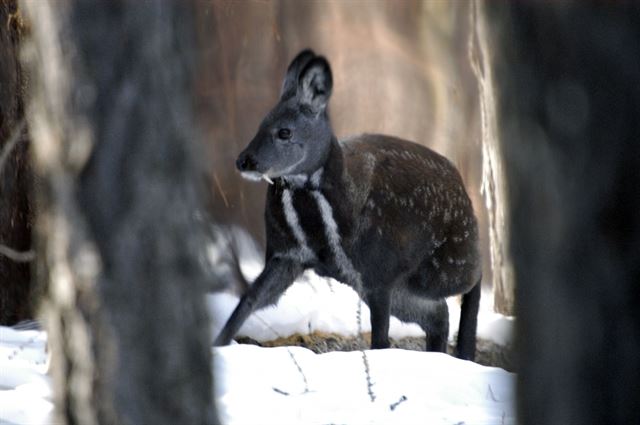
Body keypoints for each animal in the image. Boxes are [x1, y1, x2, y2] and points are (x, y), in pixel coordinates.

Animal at [215, 48, 480, 358]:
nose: (244, 161)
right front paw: (218, 344)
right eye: (261, 124)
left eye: (285, 132)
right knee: (438, 314)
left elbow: (380, 340)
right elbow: (249, 299)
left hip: (441, 266)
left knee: (472, 278)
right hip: (402, 285)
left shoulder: (380, 272)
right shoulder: (286, 255)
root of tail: (463, 190)